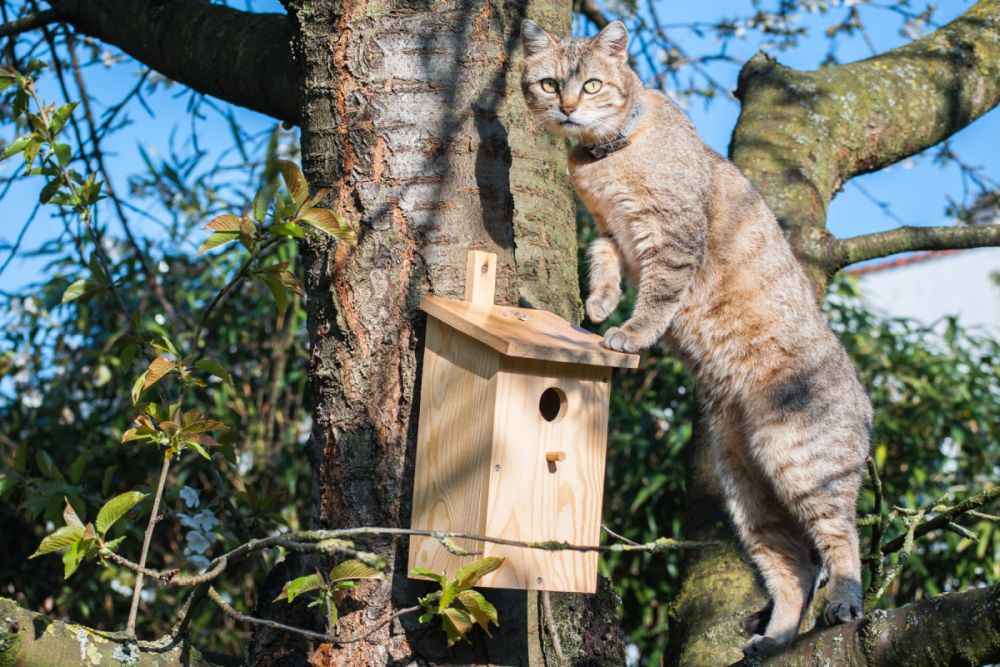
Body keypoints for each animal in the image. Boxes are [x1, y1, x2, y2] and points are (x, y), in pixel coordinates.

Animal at [520, 18, 872, 656]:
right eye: (550, 83)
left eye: (591, 84)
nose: (566, 109)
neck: (604, 160)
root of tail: (865, 403)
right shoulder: (612, 230)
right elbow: (600, 259)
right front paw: (599, 302)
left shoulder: (672, 237)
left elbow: (658, 297)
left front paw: (628, 333)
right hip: (747, 490)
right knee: (795, 568)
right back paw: (774, 641)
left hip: (803, 464)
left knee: (840, 541)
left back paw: (845, 603)